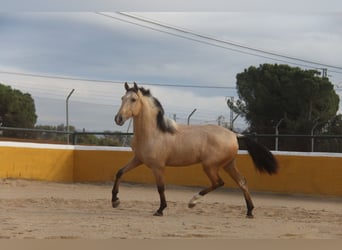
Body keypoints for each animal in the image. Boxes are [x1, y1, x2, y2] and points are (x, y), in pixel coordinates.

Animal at [112, 82, 278, 217]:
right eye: (122, 98)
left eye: (133, 99)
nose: (118, 119)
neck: (153, 132)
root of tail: (234, 134)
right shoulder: (138, 159)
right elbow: (119, 172)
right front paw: (115, 200)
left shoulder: (157, 166)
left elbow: (160, 187)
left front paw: (160, 209)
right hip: (228, 164)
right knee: (242, 182)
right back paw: (249, 211)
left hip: (210, 166)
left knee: (218, 183)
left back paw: (192, 202)